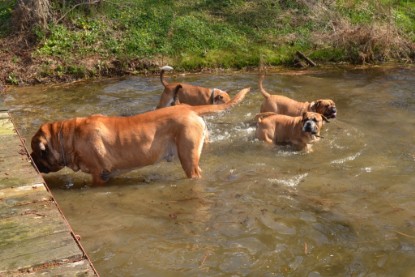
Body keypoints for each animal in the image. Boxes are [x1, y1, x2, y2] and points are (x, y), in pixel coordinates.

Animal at [30, 87, 252, 184]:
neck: (67, 136)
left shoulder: (98, 173)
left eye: (36, 151)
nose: (30, 157)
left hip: (188, 158)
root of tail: (189, 108)